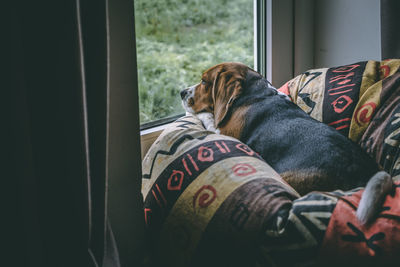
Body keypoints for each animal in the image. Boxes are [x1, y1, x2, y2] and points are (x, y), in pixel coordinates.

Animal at [182, 61, 394, 225]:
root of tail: (365, 173)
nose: (182, 92)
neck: (253, 92)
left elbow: (208, 119)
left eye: (204, 81)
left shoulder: (226, 132)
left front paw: (198, 113)